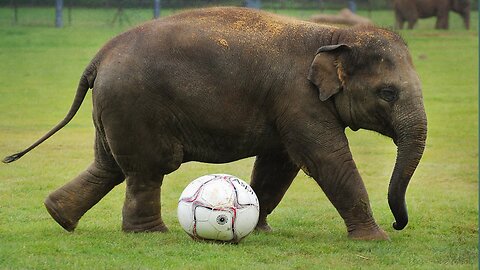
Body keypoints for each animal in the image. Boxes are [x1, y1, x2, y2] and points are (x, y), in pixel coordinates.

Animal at [4, 6, 428, 239]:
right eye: (388, 93)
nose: (397, 225)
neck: (336, 33)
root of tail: (99, 56)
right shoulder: (299, 98)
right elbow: (326, 159)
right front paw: (374, 241)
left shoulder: (287, 106)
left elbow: (278, 165)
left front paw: (259, 229)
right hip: (135, 106)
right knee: (145, 170)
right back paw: (151, 234)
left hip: (114, 109)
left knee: (108, 166)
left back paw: (58, 215)